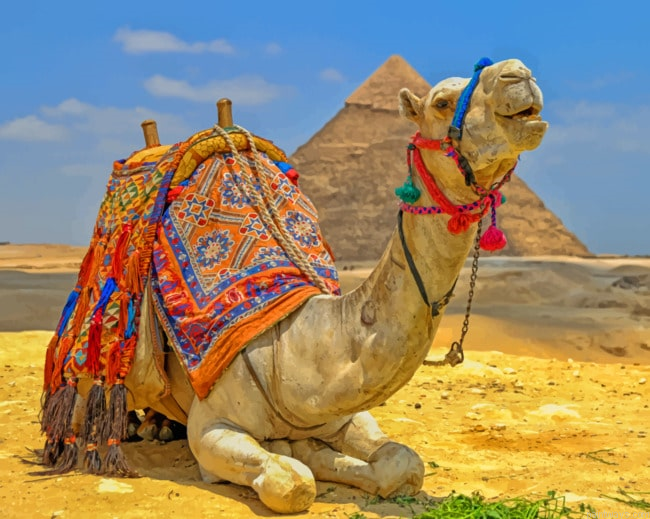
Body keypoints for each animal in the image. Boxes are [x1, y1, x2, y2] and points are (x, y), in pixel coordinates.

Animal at [72, 58, 547, 513]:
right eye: (443, 102)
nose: (518, 74)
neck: (293, 348)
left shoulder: (343, 414)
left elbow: (403, 463)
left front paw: (314, 452)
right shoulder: (212, 427)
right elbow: (294, 482)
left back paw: (158, 425)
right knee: (84, 405)